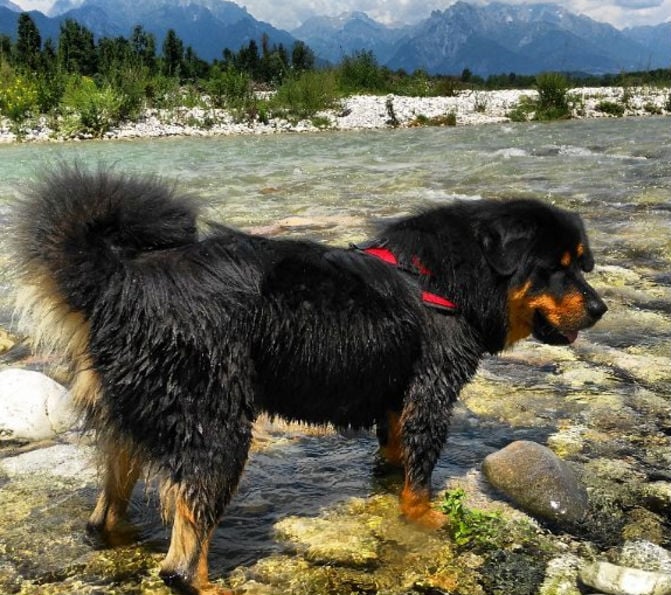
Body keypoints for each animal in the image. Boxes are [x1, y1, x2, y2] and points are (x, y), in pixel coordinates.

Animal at [11, 166, 608, 595]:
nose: (601, 308)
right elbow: (419, 479)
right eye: (555, 267)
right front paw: (425, 519)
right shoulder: (429, 395)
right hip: (218, 430)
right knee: (180, 562)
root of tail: (117, 282)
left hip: (130, 425)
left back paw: (118, 536)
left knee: (105, 511)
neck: (453, 281)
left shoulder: (395, 398)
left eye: (580, 265)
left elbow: (392, 456)